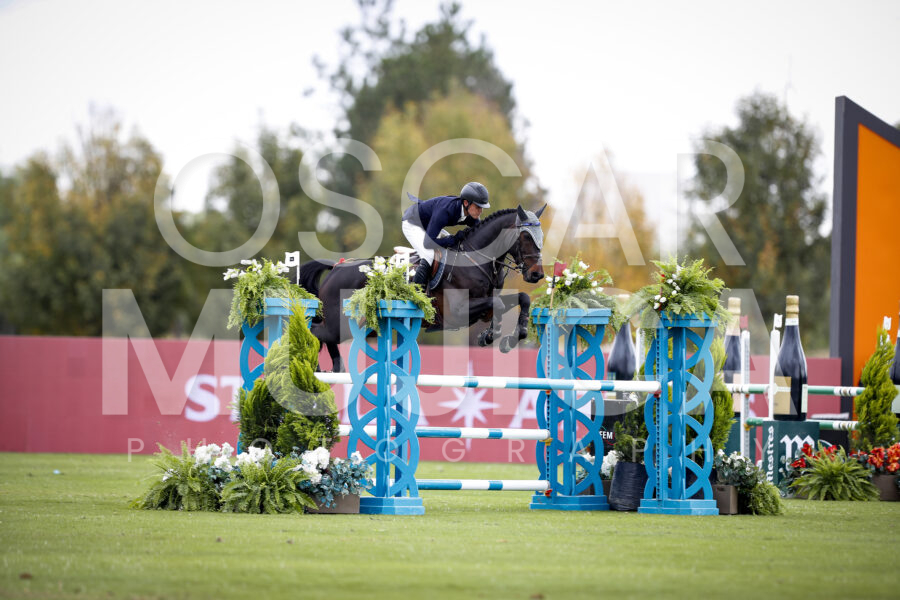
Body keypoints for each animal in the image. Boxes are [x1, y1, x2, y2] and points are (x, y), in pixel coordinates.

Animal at [297, 205, 546, 372]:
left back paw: (333, 368)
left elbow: (520, 299)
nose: (537, 274)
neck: (476, 259)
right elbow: (499, 303)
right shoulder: (458, 311)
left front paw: (510, 338)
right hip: (340, 325)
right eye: (525, 236)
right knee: (317, 333)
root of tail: (336, 268)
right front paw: (491, 335)